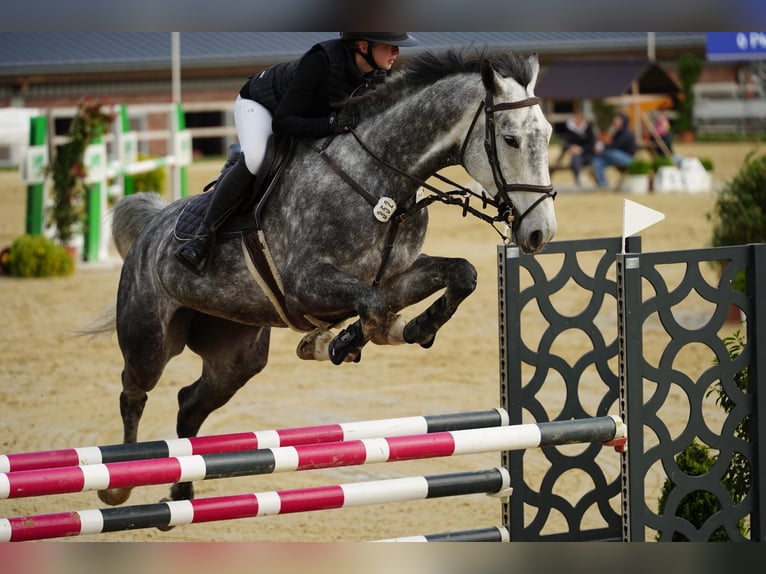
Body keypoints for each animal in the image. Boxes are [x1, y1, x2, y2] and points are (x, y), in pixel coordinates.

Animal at [92, 48, 557, 507]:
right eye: (510, 139)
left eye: (548, 135)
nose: (541, 233)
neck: (381, 182)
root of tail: (151, 226)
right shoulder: (305, 286)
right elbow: (372, 306)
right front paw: (339, 343)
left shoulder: (394, 276)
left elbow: (460, 274)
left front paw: (412, 328)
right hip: (149, 341)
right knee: (133, 392)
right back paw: (119, 485)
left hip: (235, 357)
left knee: (190, 404)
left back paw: (182, 490)